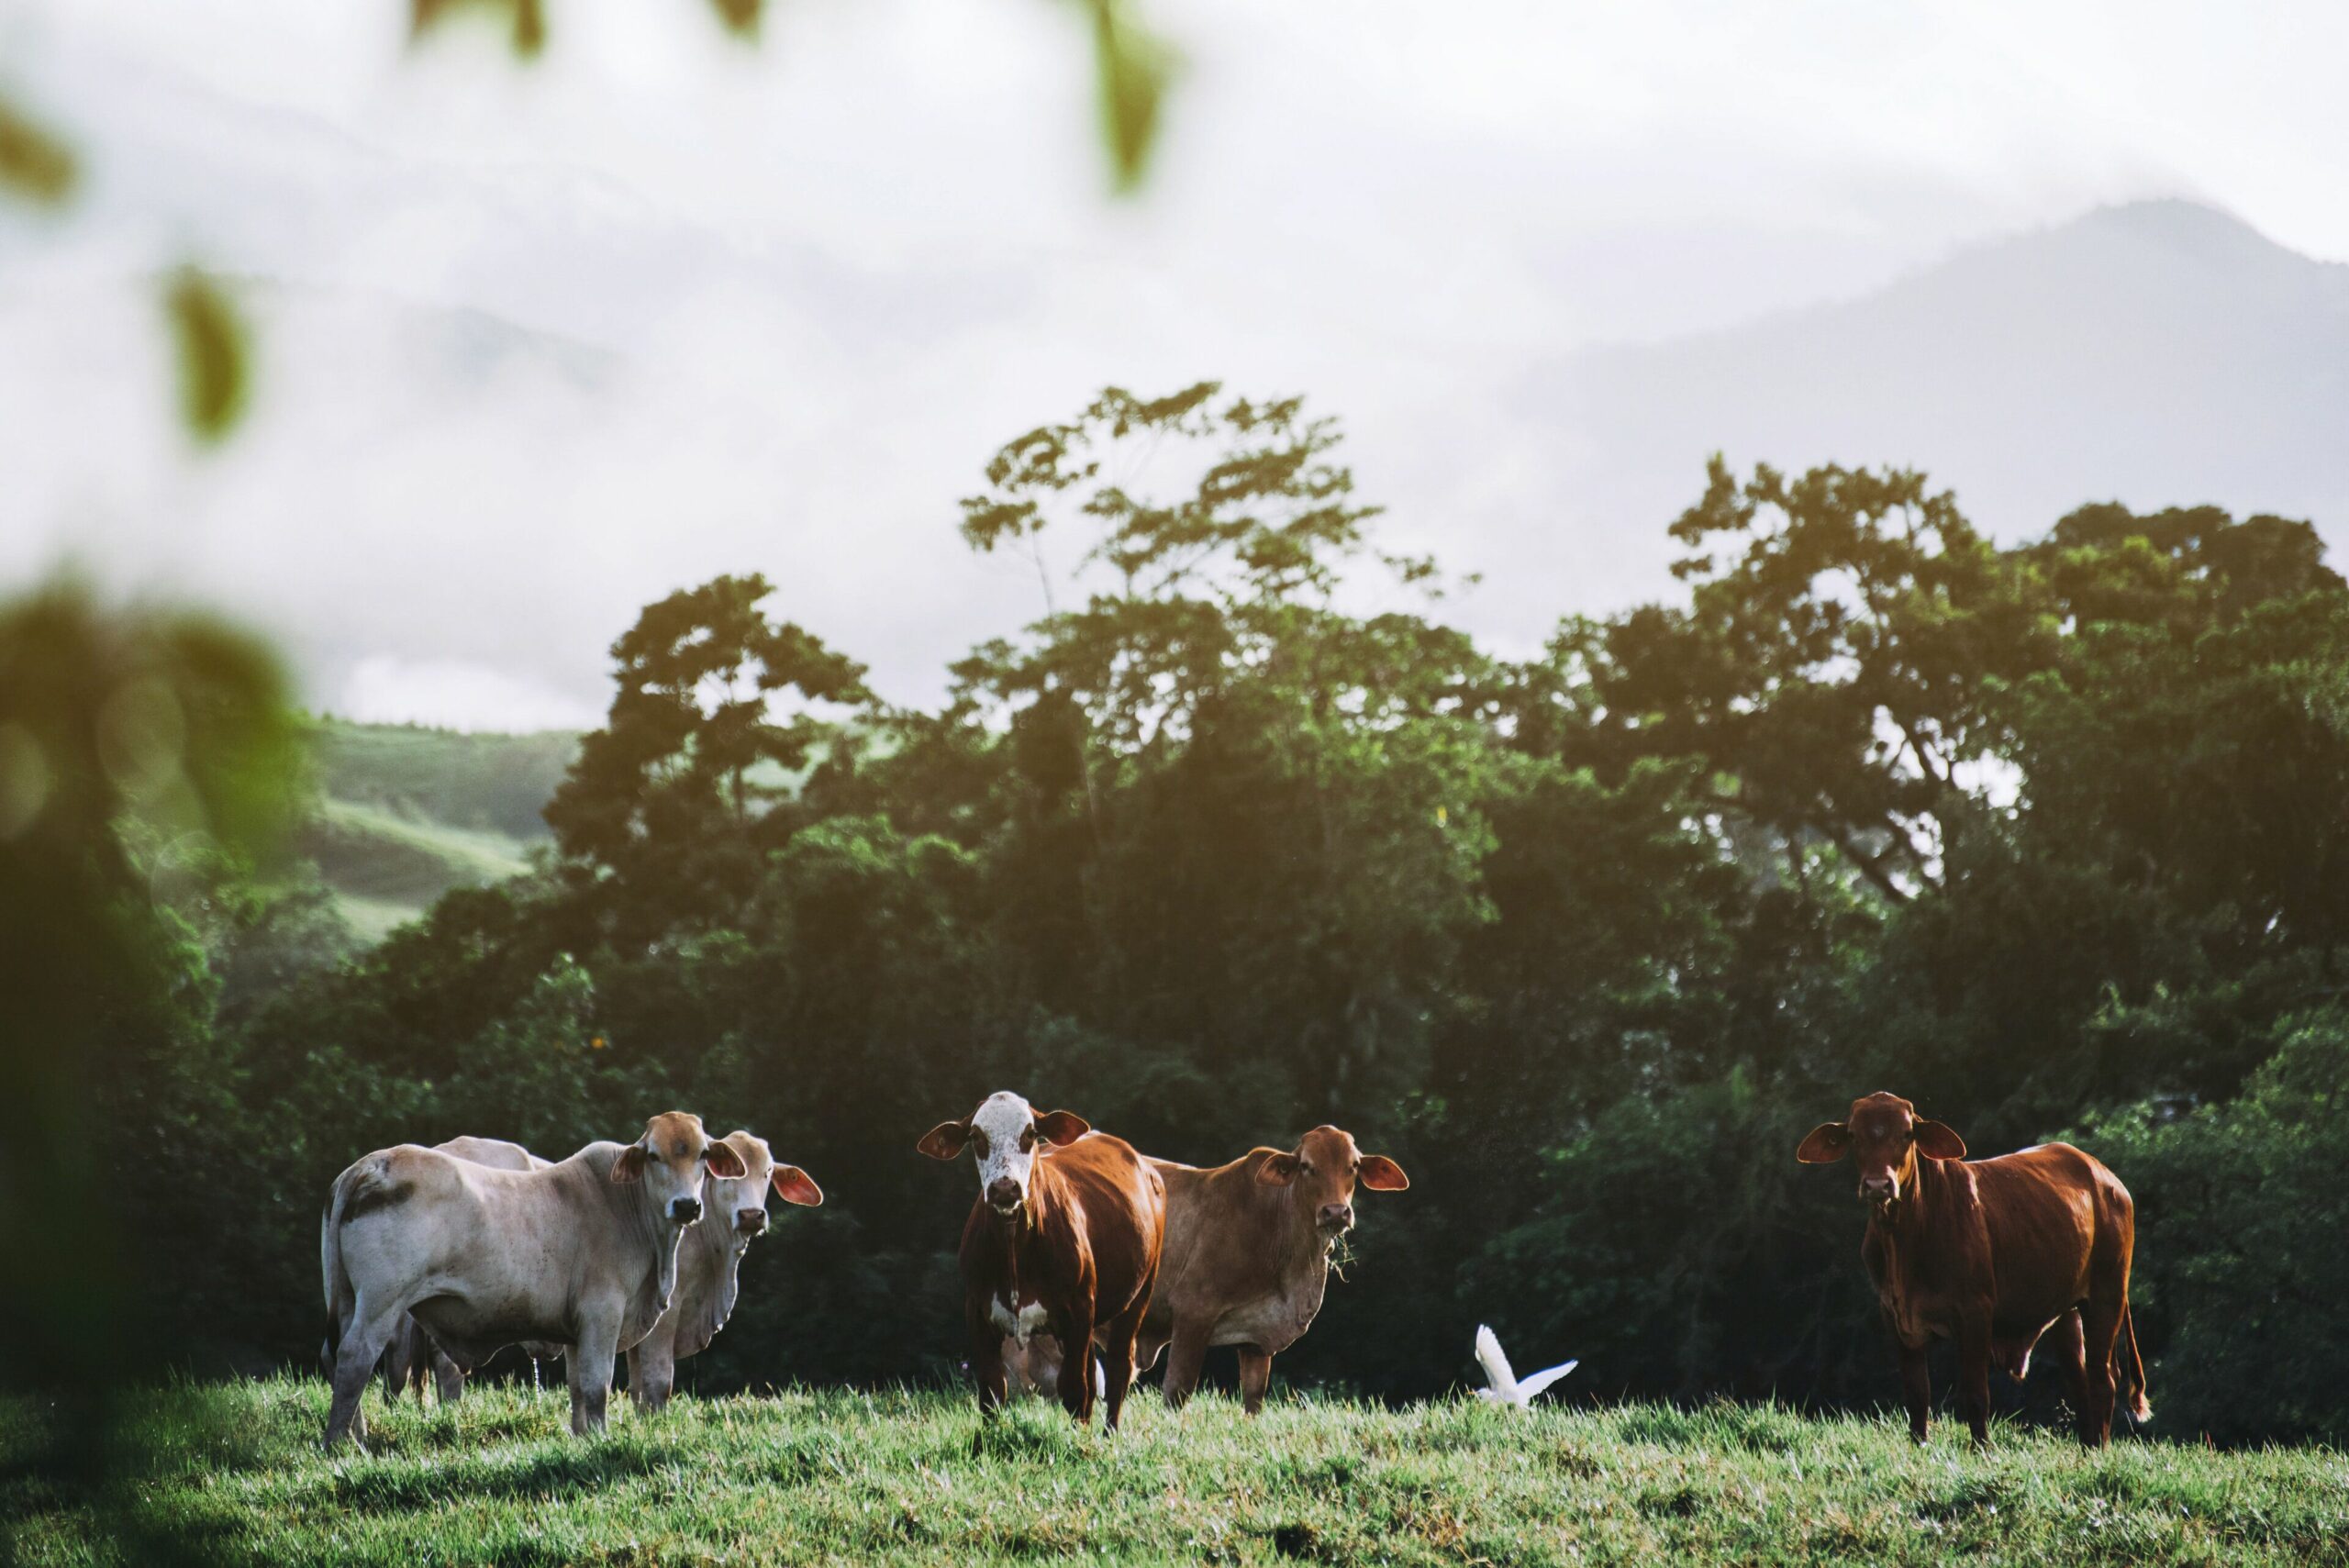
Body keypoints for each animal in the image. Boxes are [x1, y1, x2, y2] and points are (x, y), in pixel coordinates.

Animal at [629, 1127, 822, 1408]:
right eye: (726, 1175)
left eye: (768, 1171)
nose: (751, 1215)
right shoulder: (662, 1314)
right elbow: (657, 1383)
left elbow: (637, 1389)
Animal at [920, 1089, 1169, 1445]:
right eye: (977, 1137)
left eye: (1030, 1134)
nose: (1005, 1187)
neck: (1014, 1244)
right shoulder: (977, 1312)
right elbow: (992, 1389)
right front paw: (991, 1439)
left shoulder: (1078, 1309)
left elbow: (1075, 1388)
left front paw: (1080, 1443)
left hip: (1139, 1294)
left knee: (1118, 1367)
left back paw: (1109, 1434)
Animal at [1137, 1127, 1409, 1408]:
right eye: (1306, 1166)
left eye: (1353, 1165)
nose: (1335, 1212)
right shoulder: (1192, 1312)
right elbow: (1177, 1390)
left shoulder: (1256, 1340)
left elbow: (1254, 1398)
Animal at [1794, 1089, 2151, 1445]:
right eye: (1854, 1135)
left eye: (1907, 1134)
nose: (1879, 1185)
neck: (1904, 1241)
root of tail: (2106, 1177)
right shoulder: (1895, 1317)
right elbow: (1917, 1394)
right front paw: (1920, 1444)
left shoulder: (1975, 1313)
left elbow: (1976, 1395)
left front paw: (1982, 1448)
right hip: (2066, 1310)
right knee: (2080, 1379)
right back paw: (2088, 1445)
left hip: (2107, 1294)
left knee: (2103, 1377)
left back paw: (2099, 1447)